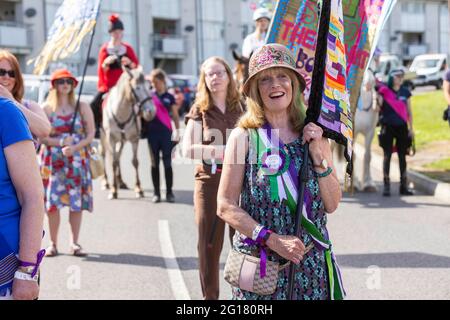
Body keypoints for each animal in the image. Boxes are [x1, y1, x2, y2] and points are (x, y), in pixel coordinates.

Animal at [102, 66, 156, 199]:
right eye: (137, 88)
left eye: (150, 86)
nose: (151, 111)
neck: (121, 112)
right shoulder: (111, 139)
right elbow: (113, 162)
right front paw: (113, 190)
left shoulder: (134, 139)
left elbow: (135, 162)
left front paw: (138, 189)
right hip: (102, 137)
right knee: (105, 155)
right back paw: (106, 182)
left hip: (122, 141)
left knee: (118, 155)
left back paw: (120, 181)